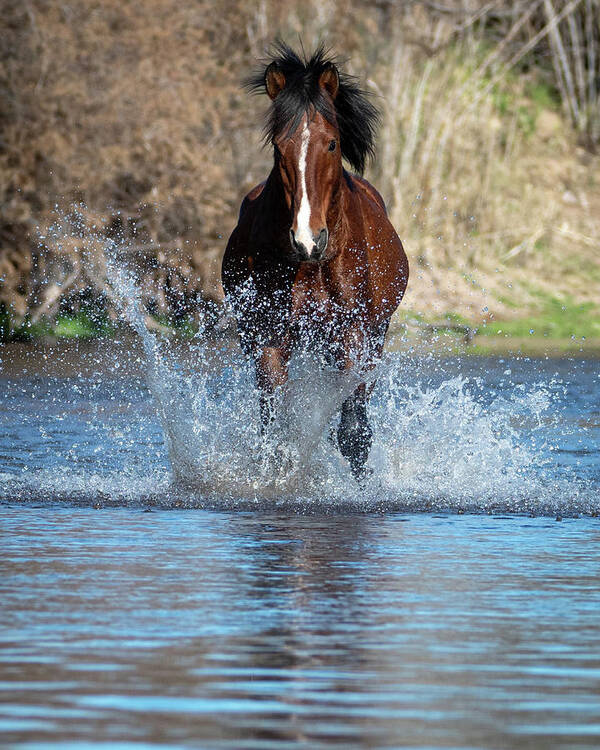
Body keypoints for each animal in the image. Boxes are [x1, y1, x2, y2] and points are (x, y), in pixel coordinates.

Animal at [223, 44, 410, 482]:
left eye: (331, 144)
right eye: (280, 147)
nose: (308, 239)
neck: (310, 265)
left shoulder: (354, 335)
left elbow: (354, 433)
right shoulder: (269, 337)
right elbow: (276, 429)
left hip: (372, 337)